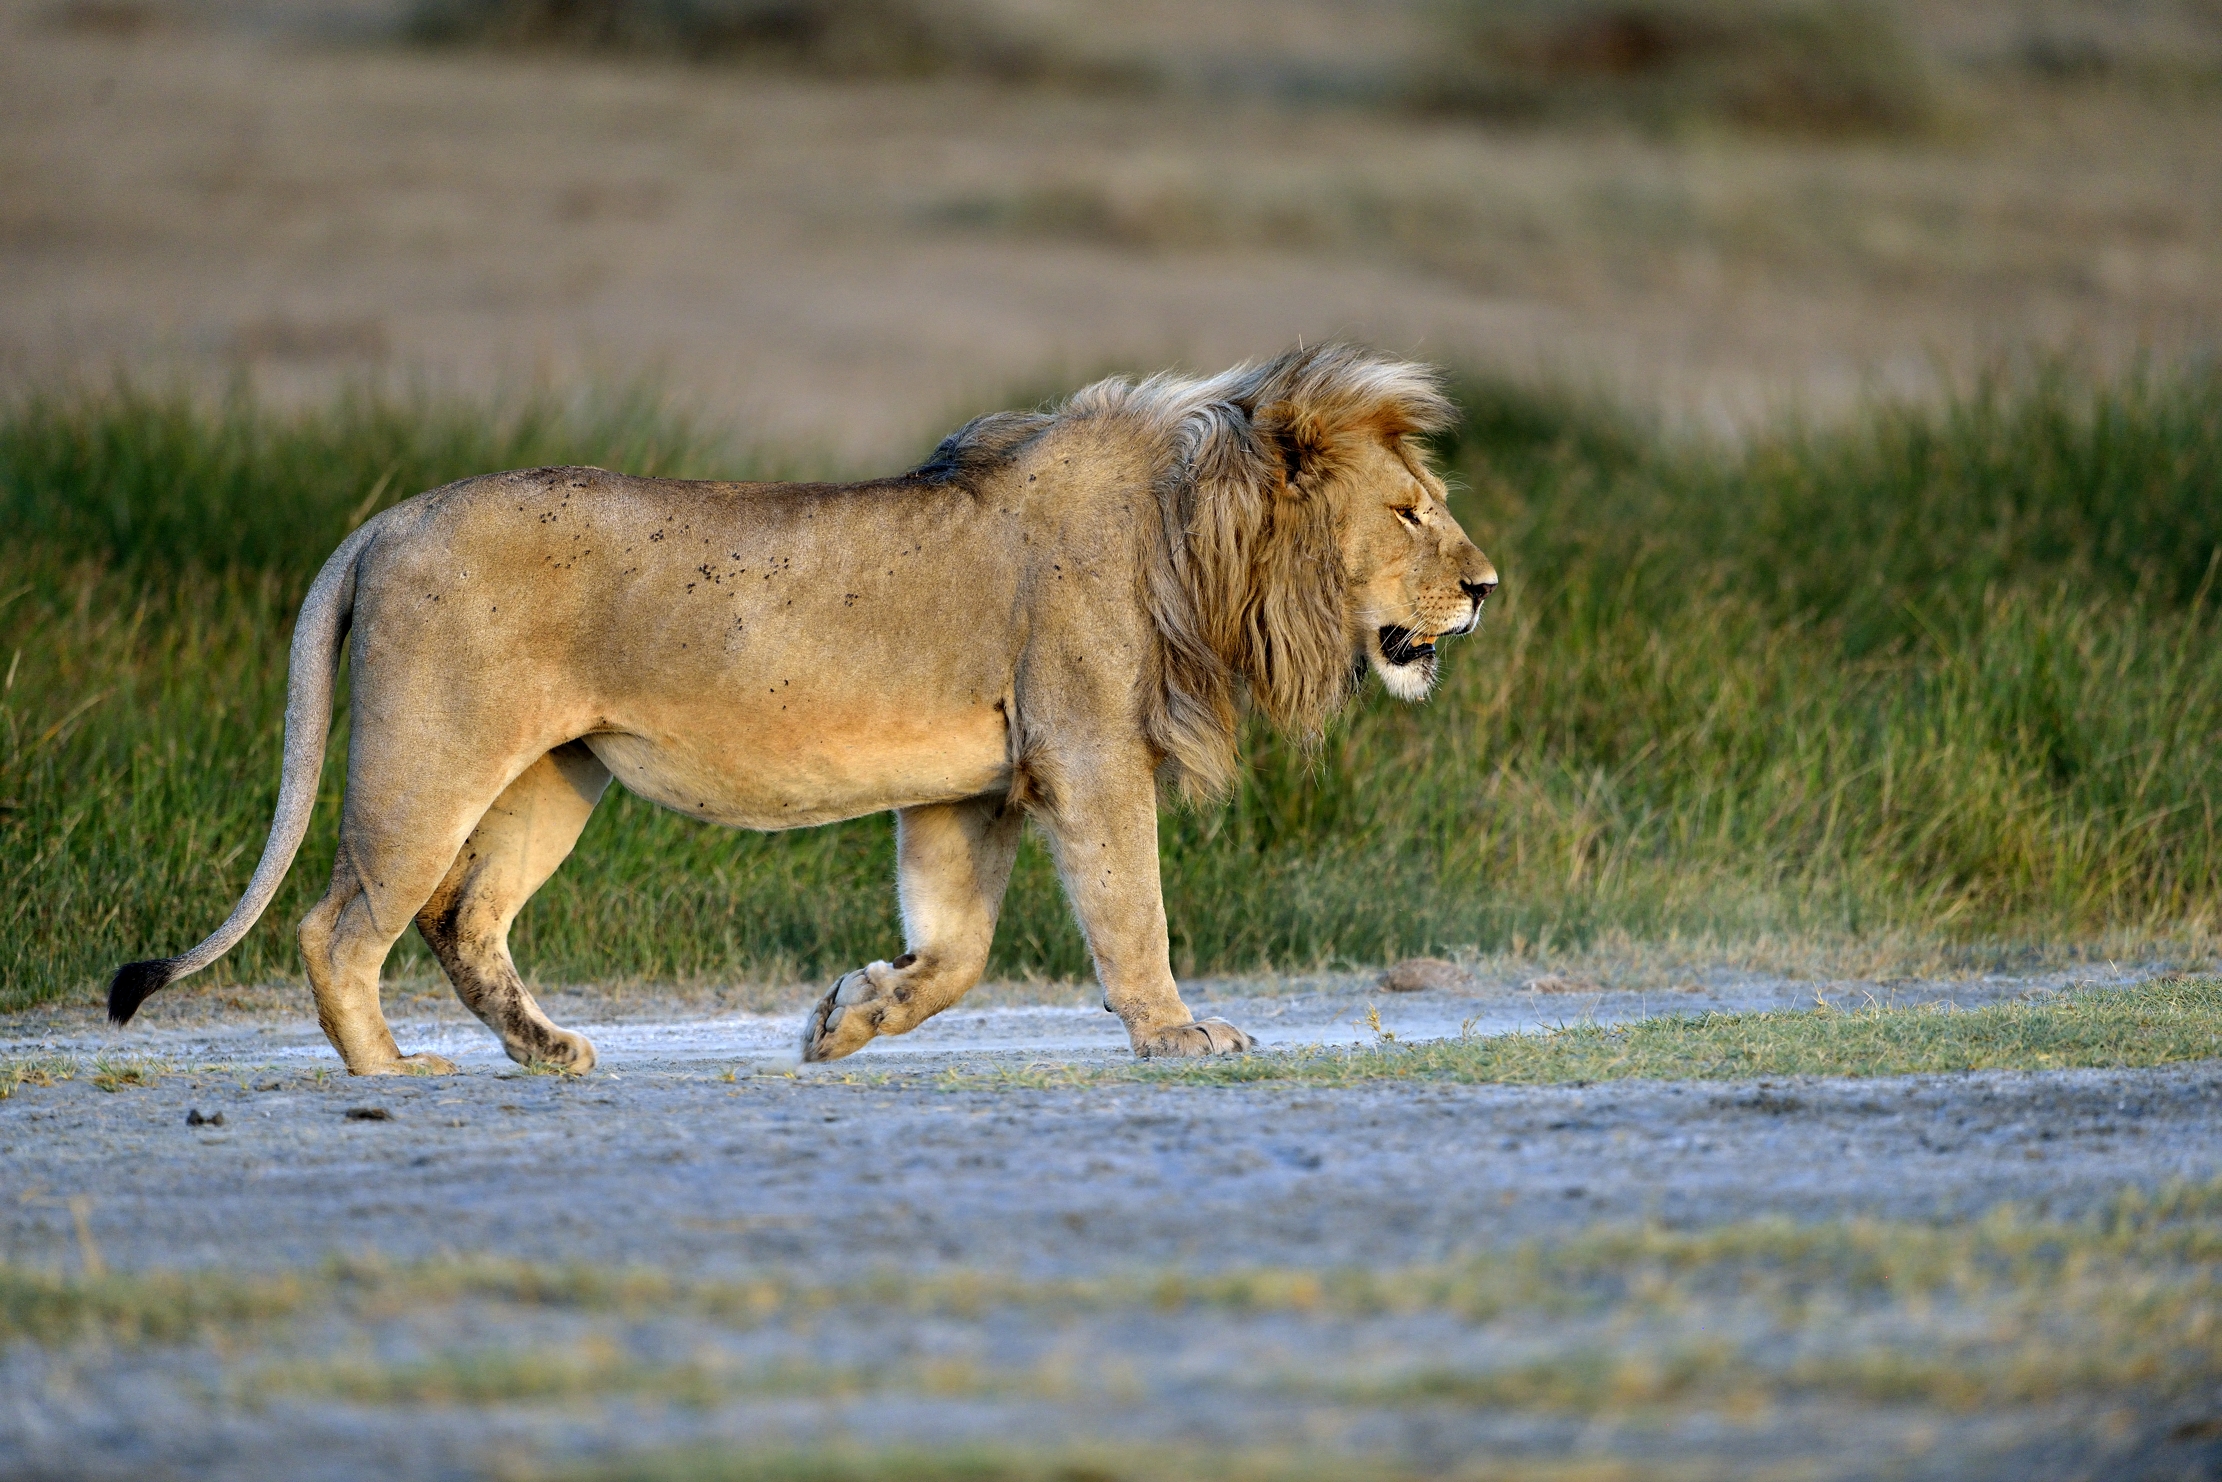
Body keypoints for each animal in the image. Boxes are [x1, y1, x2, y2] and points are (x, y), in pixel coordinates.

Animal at [106, 344, 1498, 1073]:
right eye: (1410, 512)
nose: (1485, 588)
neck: (1197, 540)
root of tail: (385, 520)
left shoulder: (970, 786)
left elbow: (957, 950)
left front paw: (850, 1016)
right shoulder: (1089, 754)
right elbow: (1130, 915)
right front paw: (1178, 1034)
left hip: (558, 774)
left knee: (464, 918)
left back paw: (547, 1051)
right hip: (429, 760)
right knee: (338, 925)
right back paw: (391, 1072)